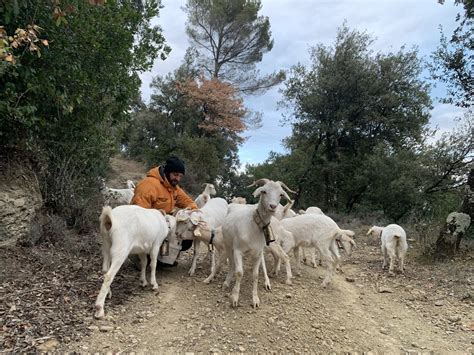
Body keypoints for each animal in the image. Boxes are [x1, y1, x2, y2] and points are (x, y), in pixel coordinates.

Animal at [222, 179, 292, 310]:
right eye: (264, 191)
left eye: (281, 194)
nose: (272, 206)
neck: (252, 226)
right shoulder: (238, 250)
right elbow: (239, 272)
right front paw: (234, 298)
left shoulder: (258, 253)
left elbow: (255, 275)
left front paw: (255, 300)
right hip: (229, 245)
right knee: (232, 264)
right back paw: (226, 282)